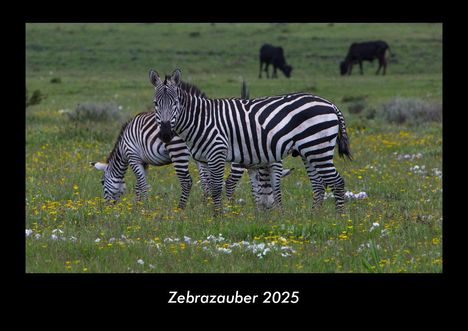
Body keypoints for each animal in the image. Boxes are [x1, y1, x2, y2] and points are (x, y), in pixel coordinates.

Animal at [150, 68, 352, 214]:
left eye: (175, 103)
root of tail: (330, 104)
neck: (201, 119)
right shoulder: (204, 159)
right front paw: (210, 214)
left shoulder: (217, 152)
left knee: (337, 182)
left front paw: (218, 218)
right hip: (308, 151)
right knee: (319, 184)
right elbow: (207, 187)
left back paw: (338, 219)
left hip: (317, 148)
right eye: (155, 103)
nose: (166, 134)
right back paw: (314, 217)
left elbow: (216, 187)